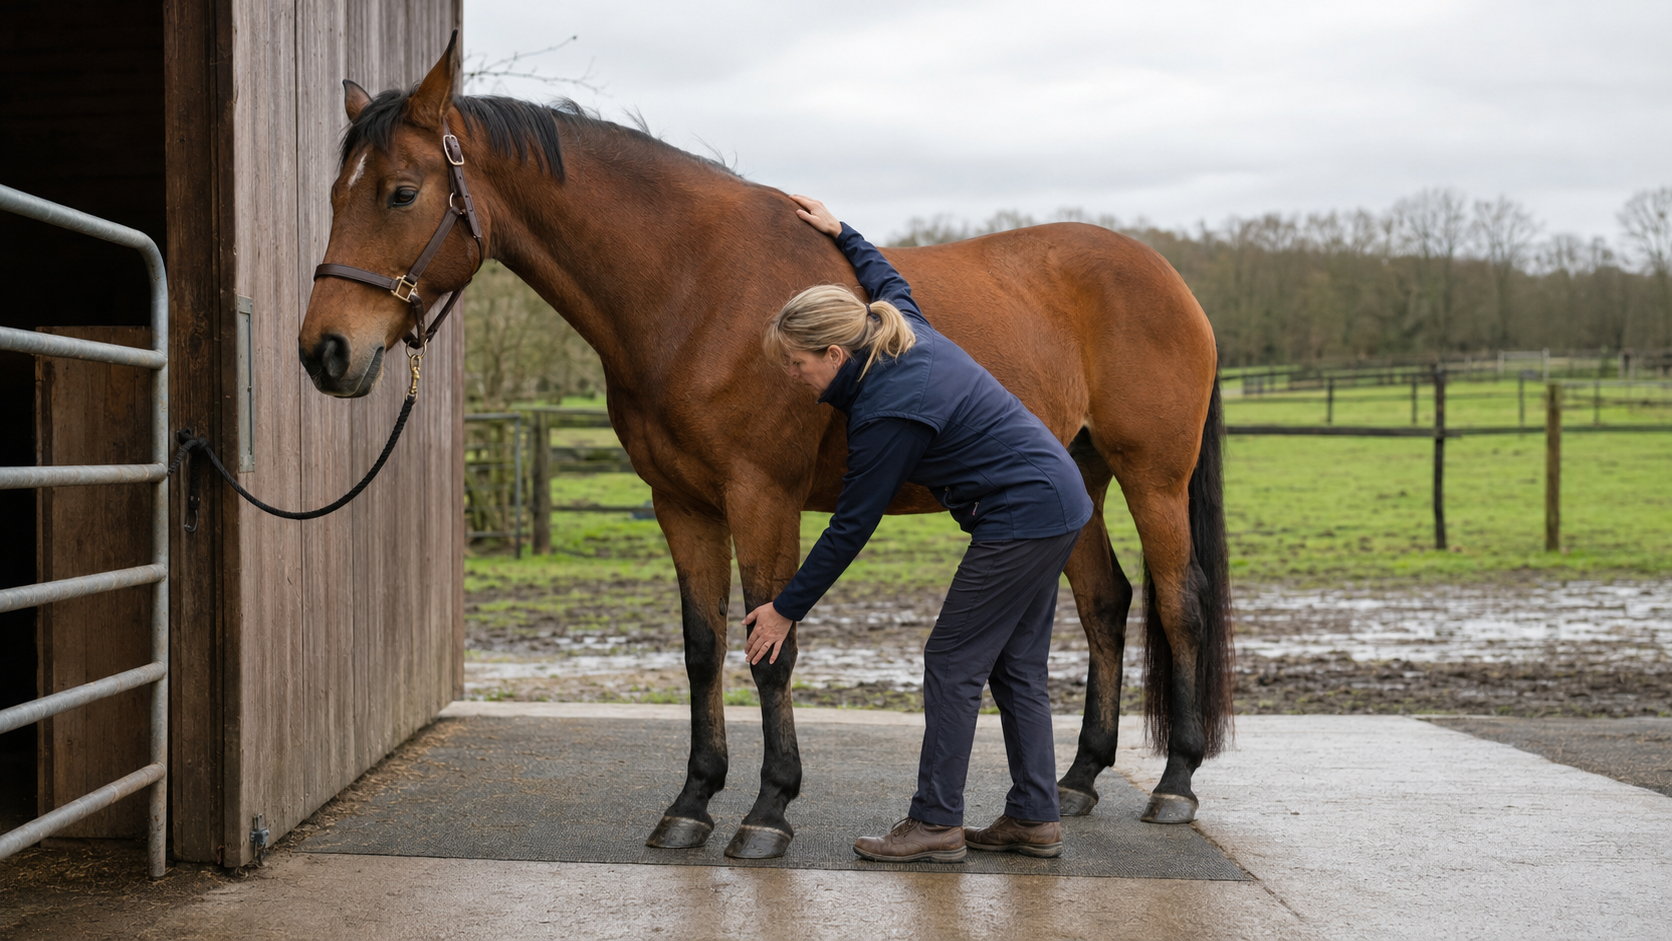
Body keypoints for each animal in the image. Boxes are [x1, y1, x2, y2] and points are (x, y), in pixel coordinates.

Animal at [299, 36, 1232, 860]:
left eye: (402, 192)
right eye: (338, 194)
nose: (325, 352)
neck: (692, 287)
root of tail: (1167, 275)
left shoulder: (763, 497)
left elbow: (771, 648)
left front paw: (769, 809)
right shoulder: (682, 504)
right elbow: (703, 646)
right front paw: (693, 800)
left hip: (1152, 477)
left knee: (1177, 602)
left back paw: (1176, 782)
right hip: (1077, 477)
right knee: (1106, 602)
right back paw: (1078, 779)